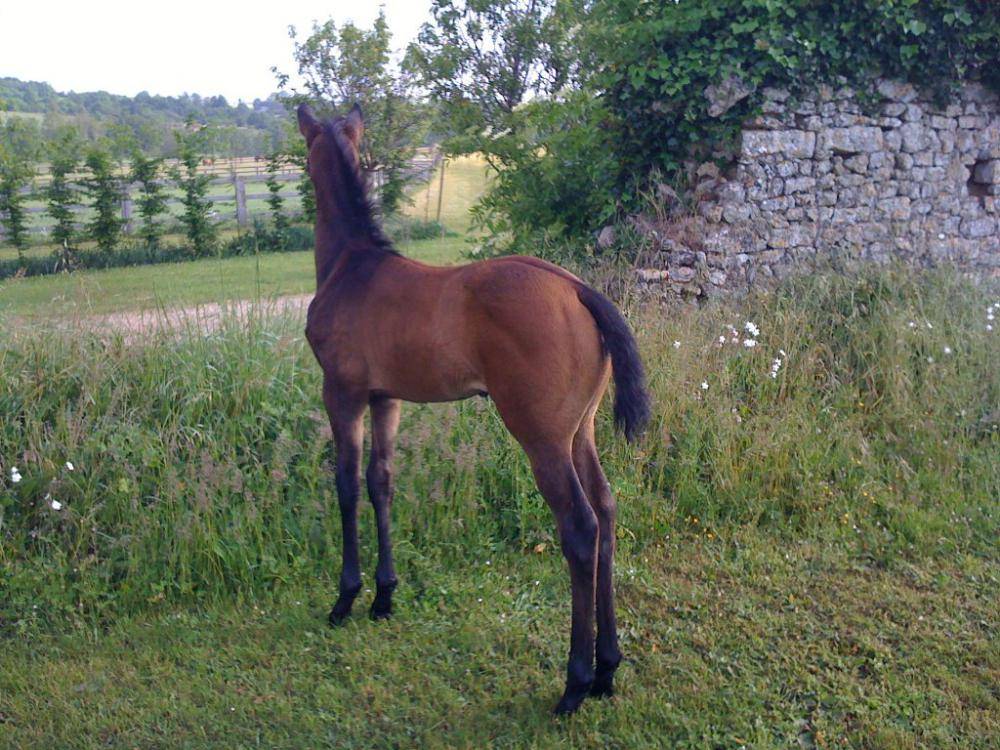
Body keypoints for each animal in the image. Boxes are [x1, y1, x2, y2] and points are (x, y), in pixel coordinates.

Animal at [296, 104, 652, 716]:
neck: (350, 264)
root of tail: (577, 288)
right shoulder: (387, 398)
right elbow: (381, 481)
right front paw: (385, 596)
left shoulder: (341, 392)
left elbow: (345, 483)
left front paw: (346, 598)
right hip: (580, 430)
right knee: (606, 509)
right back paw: (608, 669)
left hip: (540, 436)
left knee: (580, 527)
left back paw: (575, 684)